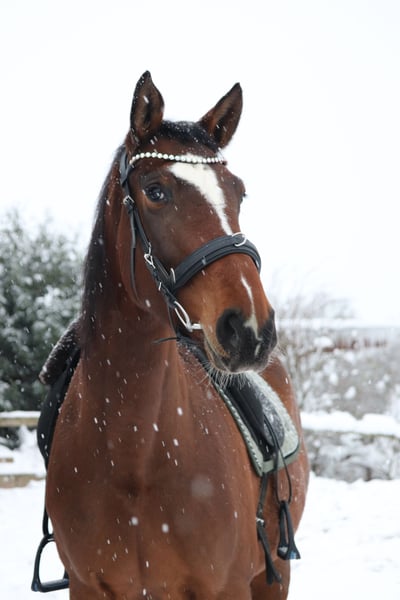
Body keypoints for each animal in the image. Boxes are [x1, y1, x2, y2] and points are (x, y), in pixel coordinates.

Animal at [44, 71, 309, 599]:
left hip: (274, 577)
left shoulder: (228, 586)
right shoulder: (86, 586)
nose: (250, 329)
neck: (132, 455)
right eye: (155, 191)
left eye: (238, 192)